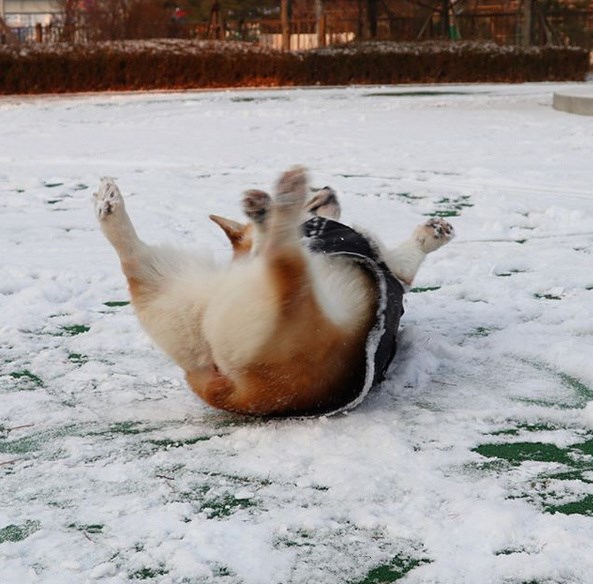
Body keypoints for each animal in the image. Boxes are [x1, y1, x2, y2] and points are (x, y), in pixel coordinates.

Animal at [93, 167, 454, 418]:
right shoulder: (394, 265)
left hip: (174, 291)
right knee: (284, 258)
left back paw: (109, 204)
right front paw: (433, 234)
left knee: (132, 259)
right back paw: (280, 204)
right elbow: (409, 255)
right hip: (295, 302)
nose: (327, 187)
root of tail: (230, 388)